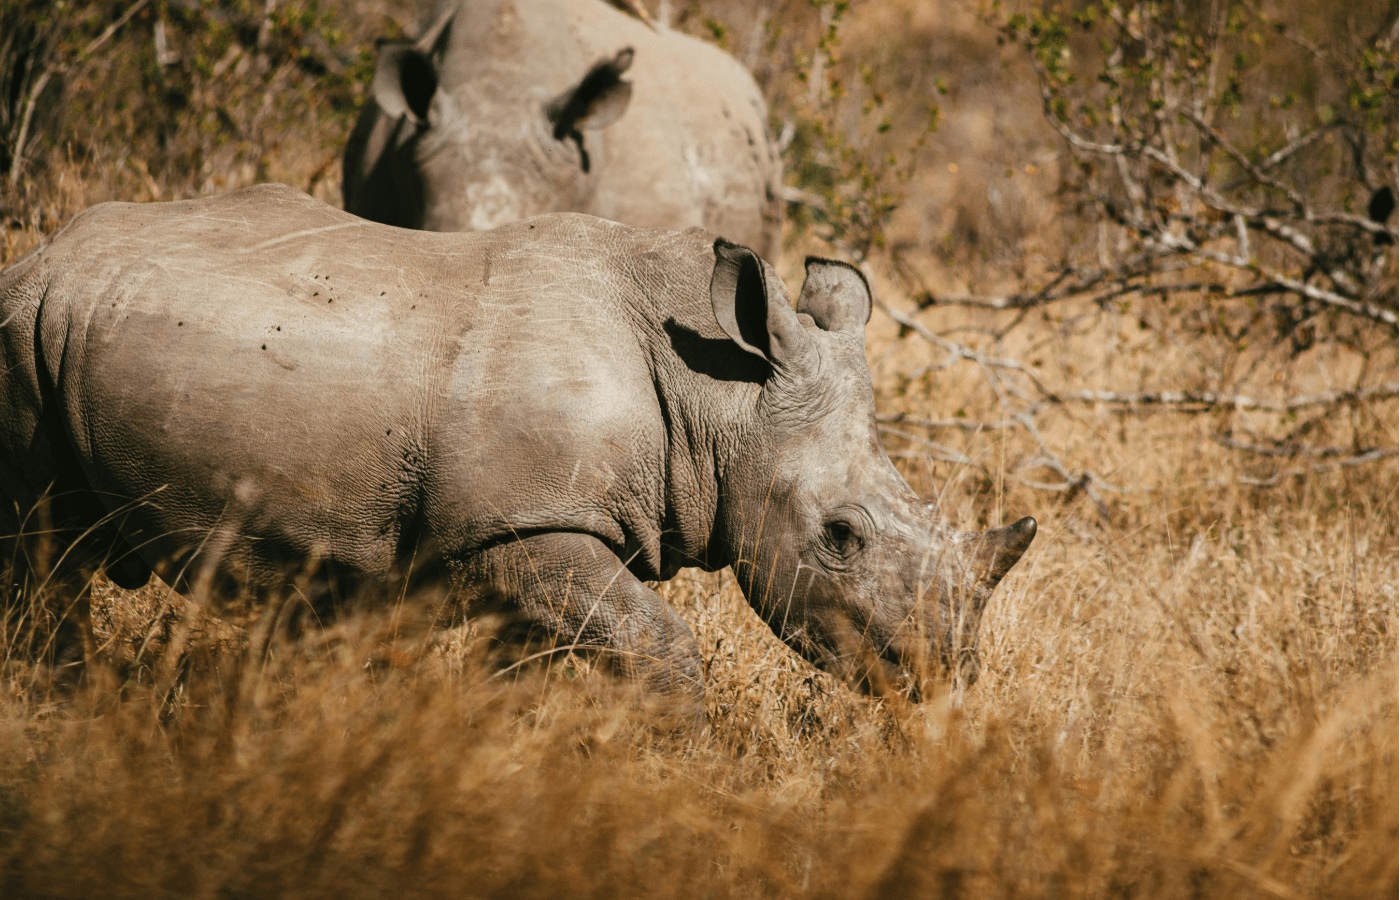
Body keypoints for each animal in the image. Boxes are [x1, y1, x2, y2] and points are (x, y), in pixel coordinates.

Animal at [0, 184, 1034, 710]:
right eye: (841, 537)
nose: (942, 680)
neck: (721, 398)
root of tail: (42, 254)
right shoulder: (528, 522)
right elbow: (661, 648)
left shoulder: (526, 536)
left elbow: (535, 664)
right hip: (25, 332)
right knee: (37, 547)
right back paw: (59, 707)